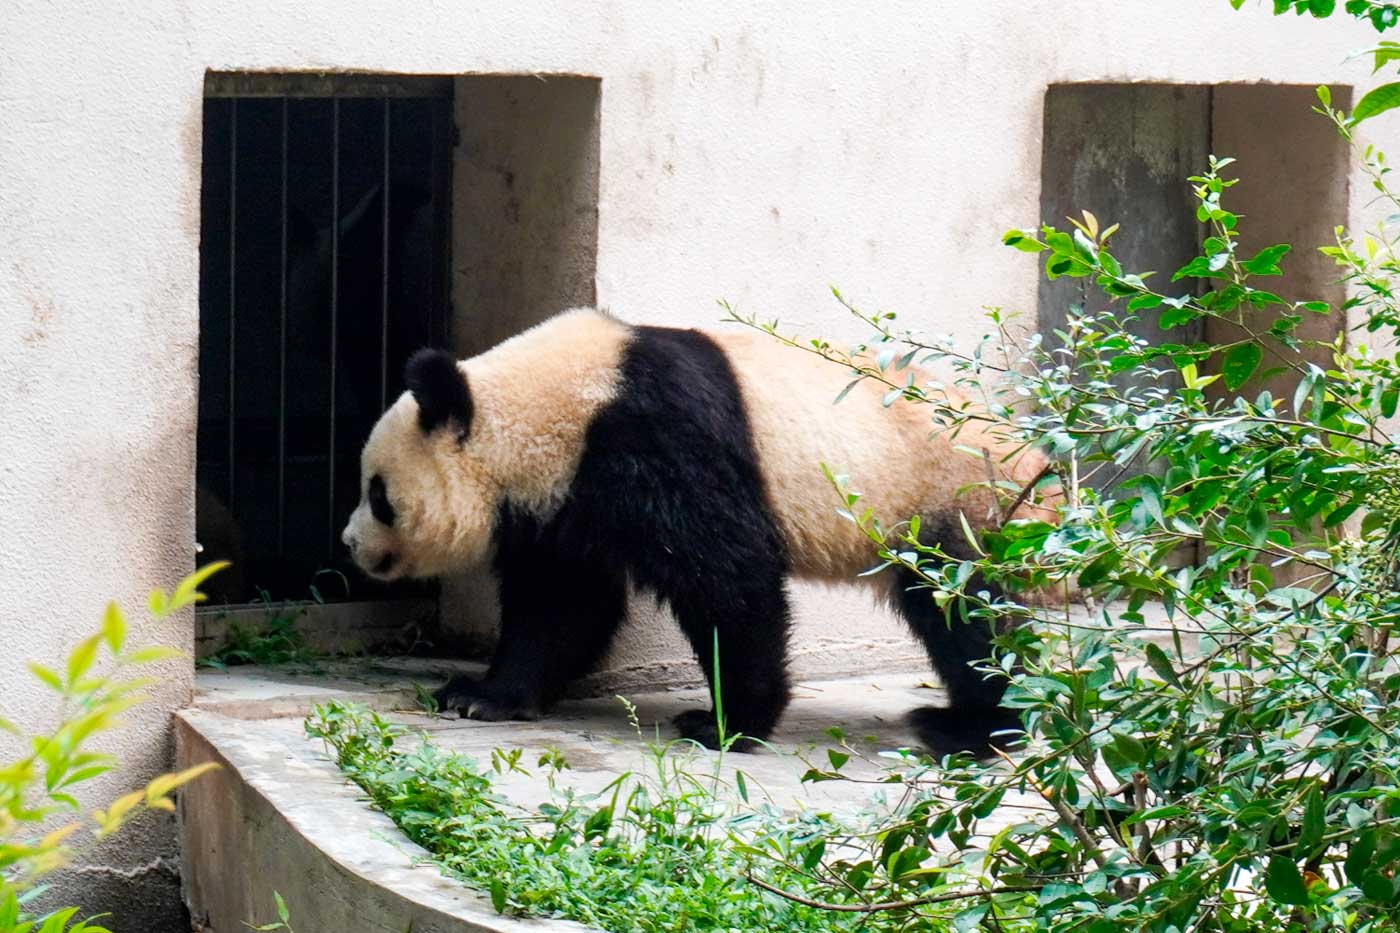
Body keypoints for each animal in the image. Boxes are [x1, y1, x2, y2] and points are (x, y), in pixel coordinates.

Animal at [340, 308, 1053, 756]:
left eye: (378, 495)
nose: (349, 544)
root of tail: (1041, 467)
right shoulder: (566, 495)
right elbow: (563, 603)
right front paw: (484, 696)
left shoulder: (657, 436)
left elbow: (726, 579)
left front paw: (727, 724)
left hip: (954, 505)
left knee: (967, 617)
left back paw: (973, 729)